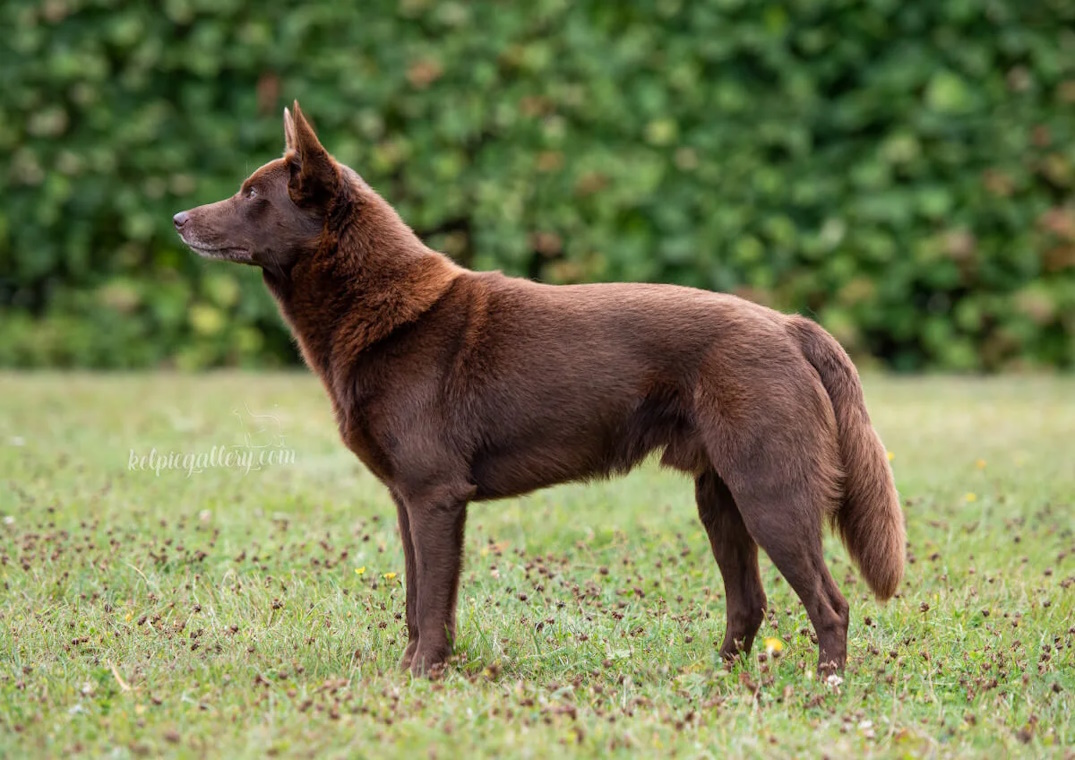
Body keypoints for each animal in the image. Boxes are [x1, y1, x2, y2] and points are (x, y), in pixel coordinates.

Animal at [174, 101, 905, 677]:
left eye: (252, 196)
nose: (178, 217)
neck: (382, 308)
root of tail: (788, 325)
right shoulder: (407, 500)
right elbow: (413, 600)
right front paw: (408, 673)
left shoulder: (436, 496)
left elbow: (432, 602)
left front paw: (423, 678)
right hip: (719, 497)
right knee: (749, 604)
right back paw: (717, 680)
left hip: (769, 493)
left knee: (830, 604)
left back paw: (826, 685)